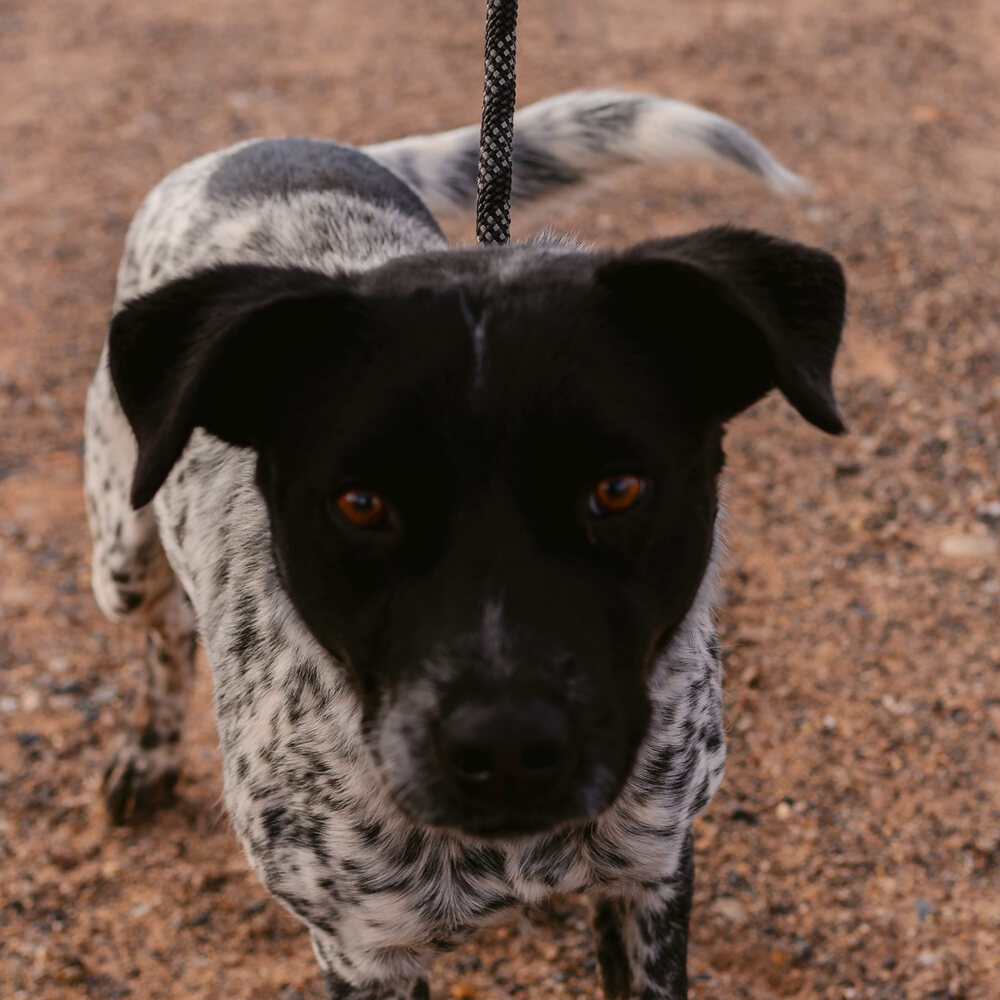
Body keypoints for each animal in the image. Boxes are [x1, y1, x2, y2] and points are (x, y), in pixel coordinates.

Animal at [86, 94, 848, 1000]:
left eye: (618, 488)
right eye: (362, 504)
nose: (508, 747)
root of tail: (265, 146)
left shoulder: (653, 876)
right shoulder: (363, 951)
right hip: (120, 552)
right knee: (164, 629)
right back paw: (147, 753)